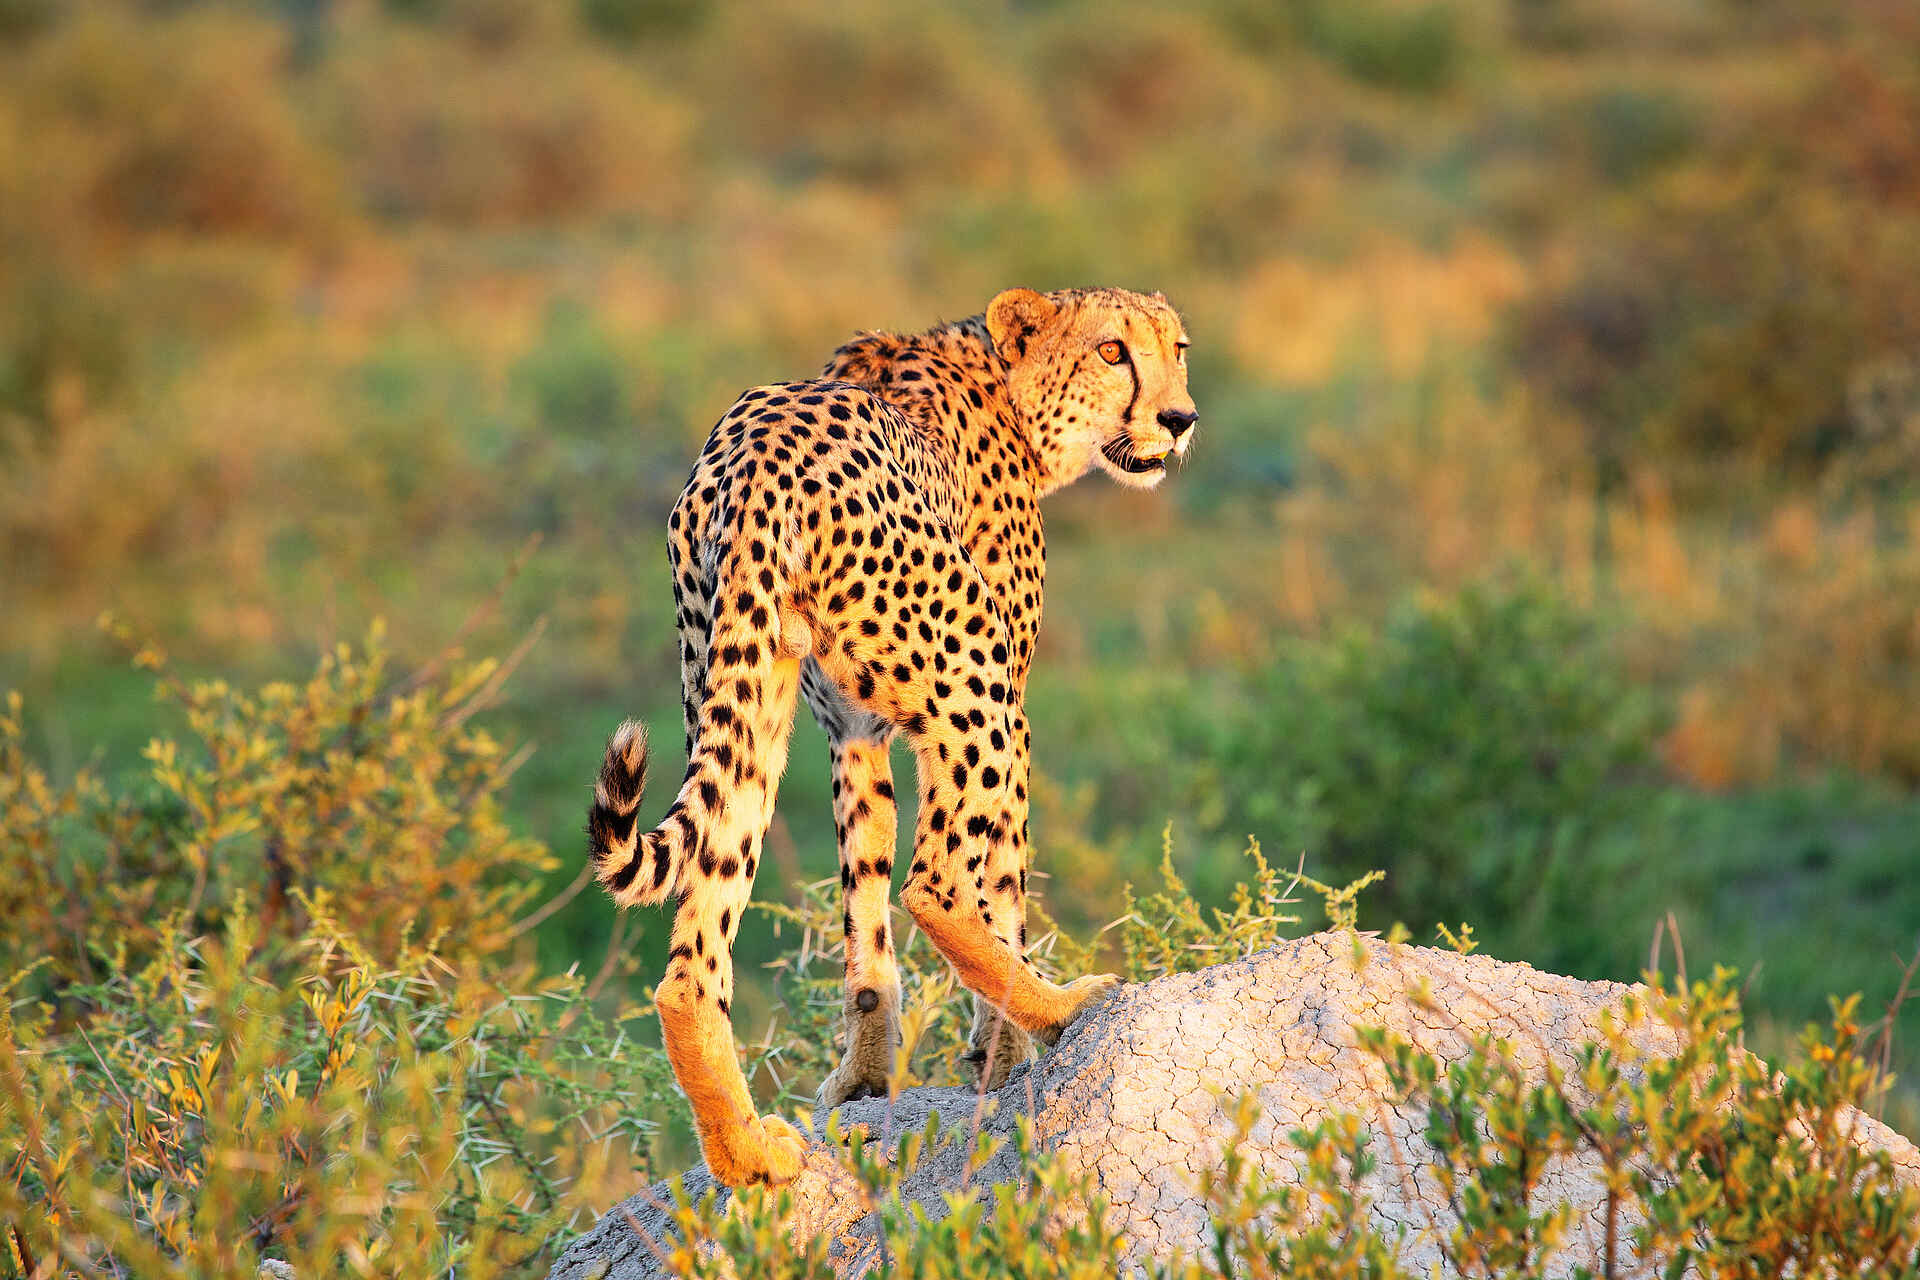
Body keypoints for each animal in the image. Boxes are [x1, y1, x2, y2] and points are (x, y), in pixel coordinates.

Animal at [585, 286, 1197, 1188]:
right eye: (1113, 351)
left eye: (1177, 348)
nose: (1179, 418)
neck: (1006, 389)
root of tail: (755, 457)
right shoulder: (999, 697)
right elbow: (1001, 886)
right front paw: (1007, 1059)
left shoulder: (852, 731)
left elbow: (865, 918)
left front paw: (867, 1082)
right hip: (974, 679)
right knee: (935, 883)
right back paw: (1064, 1006)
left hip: (746, 703)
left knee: (694, 962)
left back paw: (749, 1157)